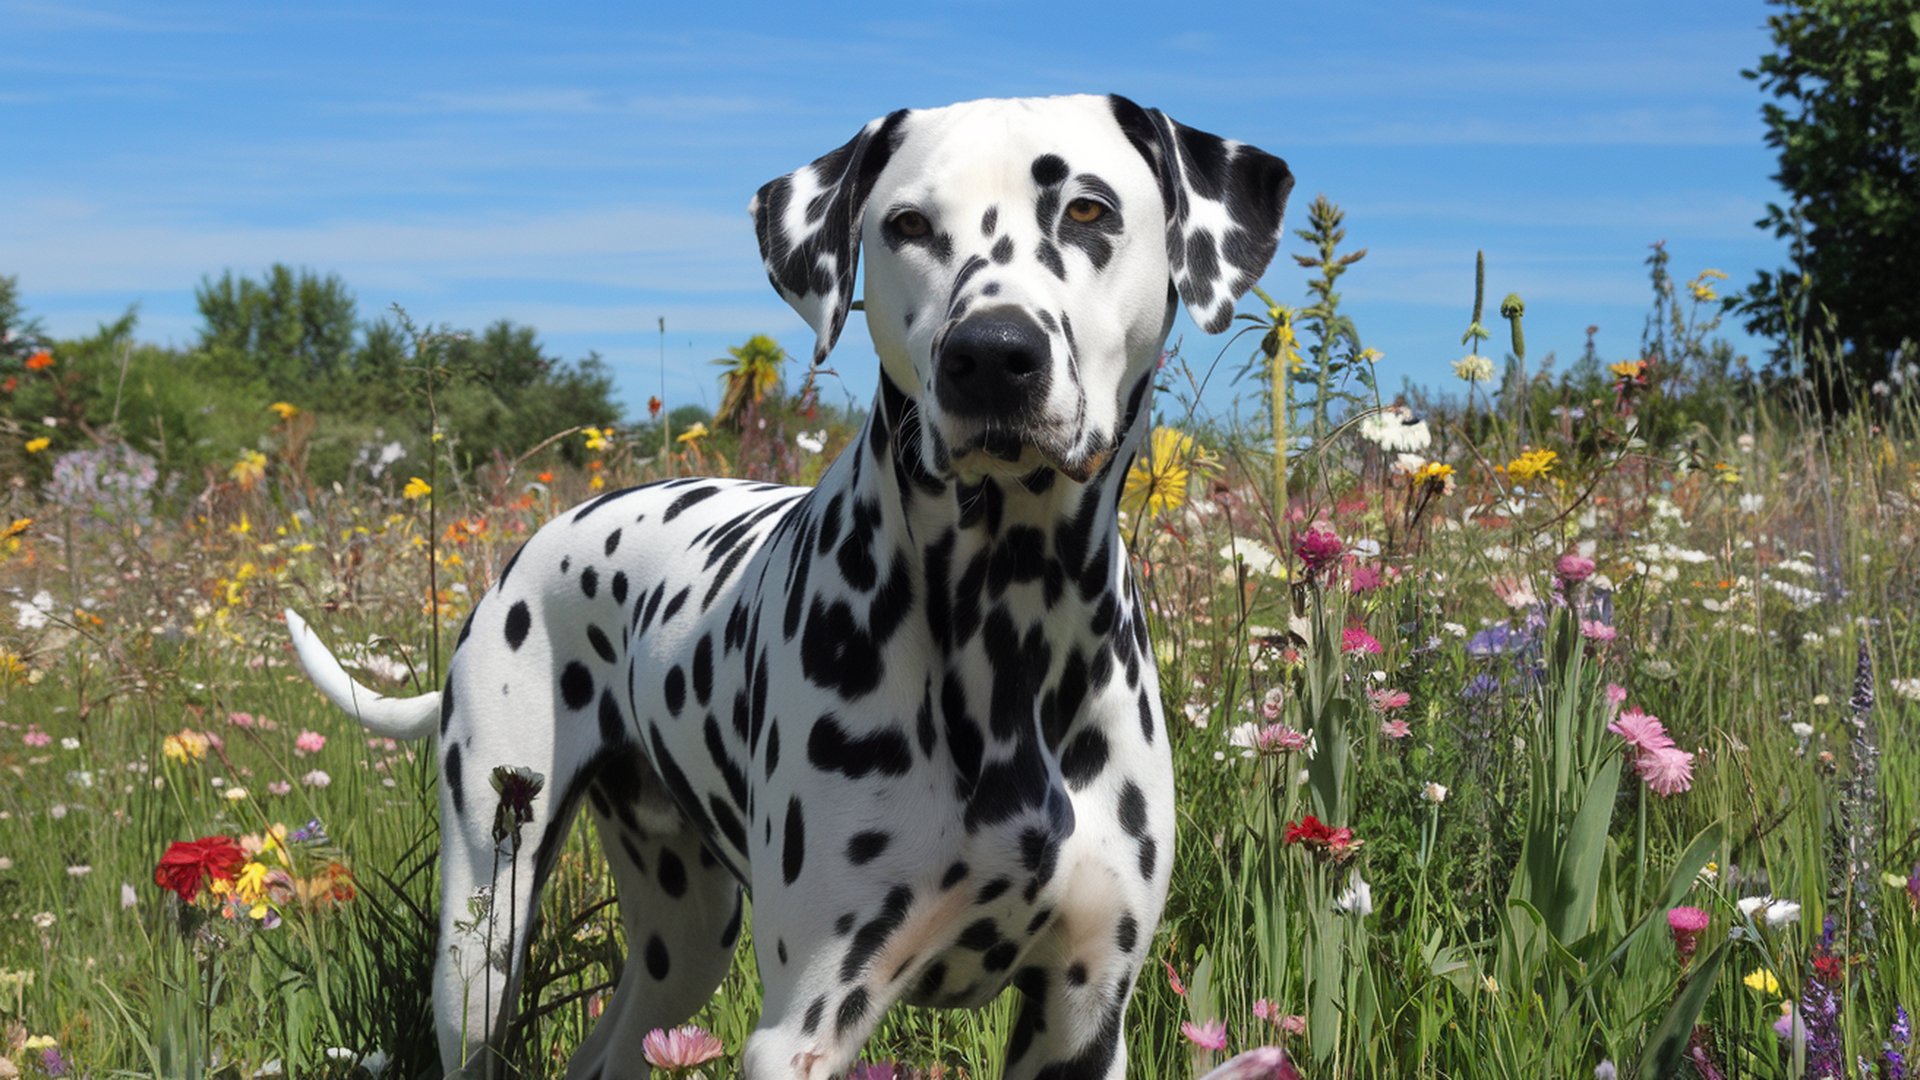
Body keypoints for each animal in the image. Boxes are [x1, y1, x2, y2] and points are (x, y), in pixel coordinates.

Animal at [284, 94, 1290, 1076]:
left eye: (1087, 211)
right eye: (908, 224)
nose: (991, 355)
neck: (1013, 627)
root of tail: (527, 554)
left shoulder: (1081, 1021)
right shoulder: (806, 1021)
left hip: (682, 943)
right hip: (485, 936)